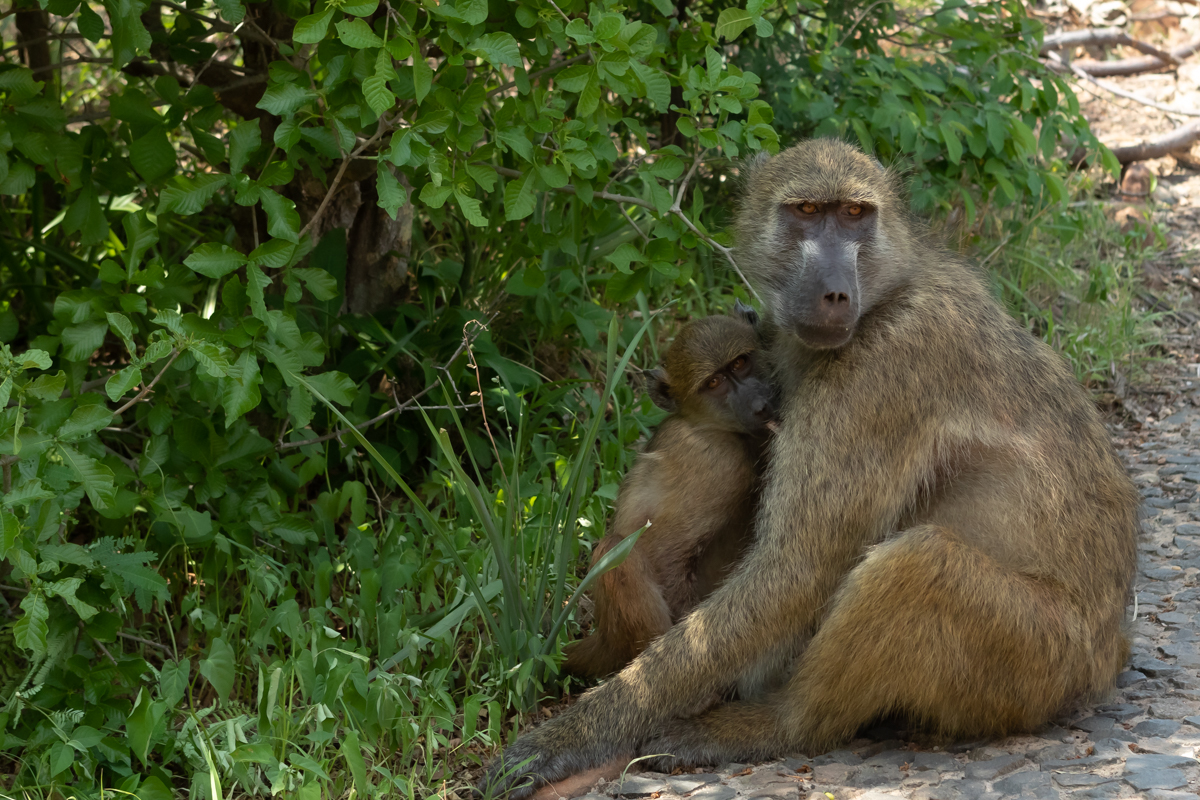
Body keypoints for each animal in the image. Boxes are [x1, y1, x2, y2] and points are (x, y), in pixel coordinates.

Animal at [563, 304, 776, 679]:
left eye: (740, 363)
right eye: (714, 383)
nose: (759, 404)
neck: (705, 424)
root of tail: (603, 637)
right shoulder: (719, 463)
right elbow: (664, 555)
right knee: (617, 548)